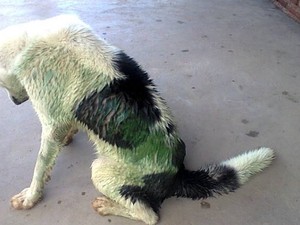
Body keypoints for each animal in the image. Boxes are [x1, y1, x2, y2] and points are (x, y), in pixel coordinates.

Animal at [0, 14, 274, 224]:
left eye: (2, 85)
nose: (16, 103)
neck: (26, 40)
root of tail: (178, 174)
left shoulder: (50, 124)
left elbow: (40, 166)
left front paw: (30, 198)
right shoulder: (59, 119)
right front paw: (69, 136)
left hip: (101, 170)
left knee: (149, 215)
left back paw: (108, 206)